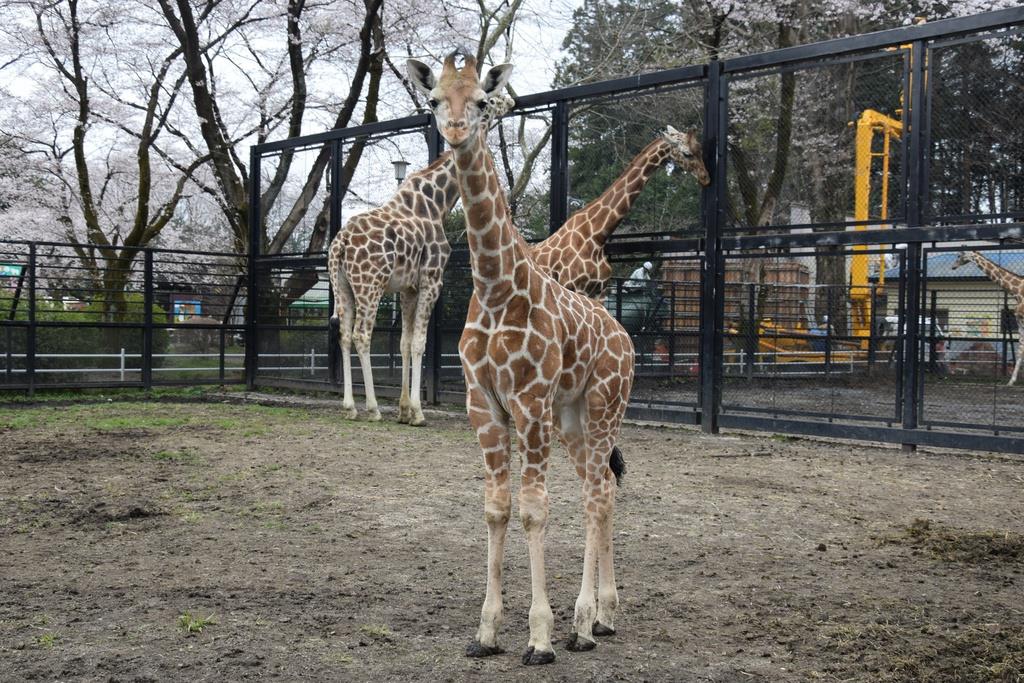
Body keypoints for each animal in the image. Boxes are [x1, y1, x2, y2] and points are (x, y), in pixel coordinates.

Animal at [327, 96, 512, 428]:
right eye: (489, 101)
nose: (511, 100)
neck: (438, 202)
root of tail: (340, 244)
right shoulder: (432, 279)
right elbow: (419, 343)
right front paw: (417, 412)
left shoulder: (408, 288)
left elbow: (403, 342)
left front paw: (403, 410)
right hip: (370, 285)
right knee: (362, 334)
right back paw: (372, 407)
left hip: (344, 287)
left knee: (345, 335)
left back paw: (349, 406)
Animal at [409, 50, 634, 663]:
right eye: (434, 98)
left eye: (482, 99)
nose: (456, 129)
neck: (493, 287)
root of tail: (625, 337)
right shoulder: (482, 403)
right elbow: (496, 507)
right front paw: (486, 631)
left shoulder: (529, 401)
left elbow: (534, 509)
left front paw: (539, 636)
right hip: (572, 418)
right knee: (600, 489)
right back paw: (602, 617)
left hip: (604, 406)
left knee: (596, 494)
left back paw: (582, 623)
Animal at [532, 127, 708, 299]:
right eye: (687, 153)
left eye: (700, 150)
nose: (705, 178)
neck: (596, 235)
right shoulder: (573, 286)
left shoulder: (600, 291)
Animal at [950, 249, 1024, 387]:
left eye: (958, 255)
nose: (953, 266)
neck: (1017, 292)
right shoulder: (1020, 320)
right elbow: (1020, 349)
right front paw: (1011, 381)